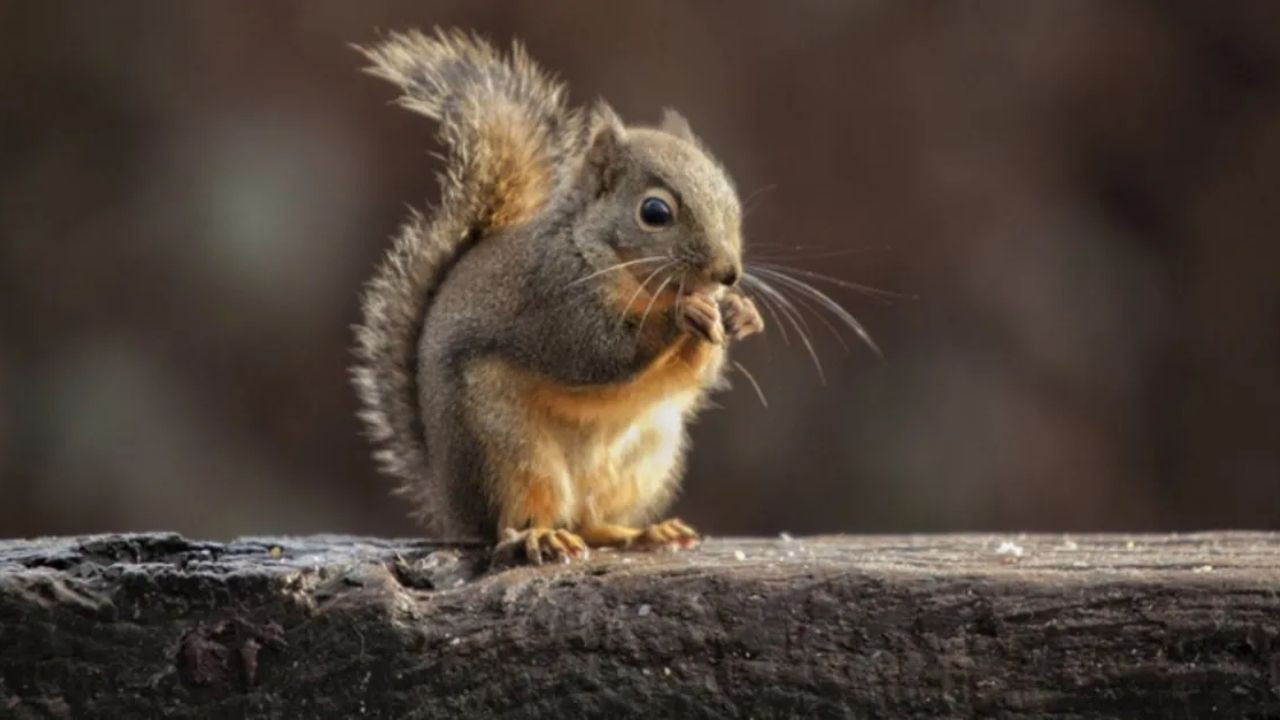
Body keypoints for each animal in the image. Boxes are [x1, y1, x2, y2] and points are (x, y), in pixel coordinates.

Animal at [353, 28, 757, 563]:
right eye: (655, 212)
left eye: (730, 200)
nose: (728, 274)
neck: (599, 253)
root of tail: (451, 508)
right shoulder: (551, 297)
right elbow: (598, 352)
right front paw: (680, 315)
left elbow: (691, 376)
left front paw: (737, 313)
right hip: (506, 450)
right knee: (512, 524)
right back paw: (538, 536)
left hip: (647, 457)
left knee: (589, 522)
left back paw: (642, 532)